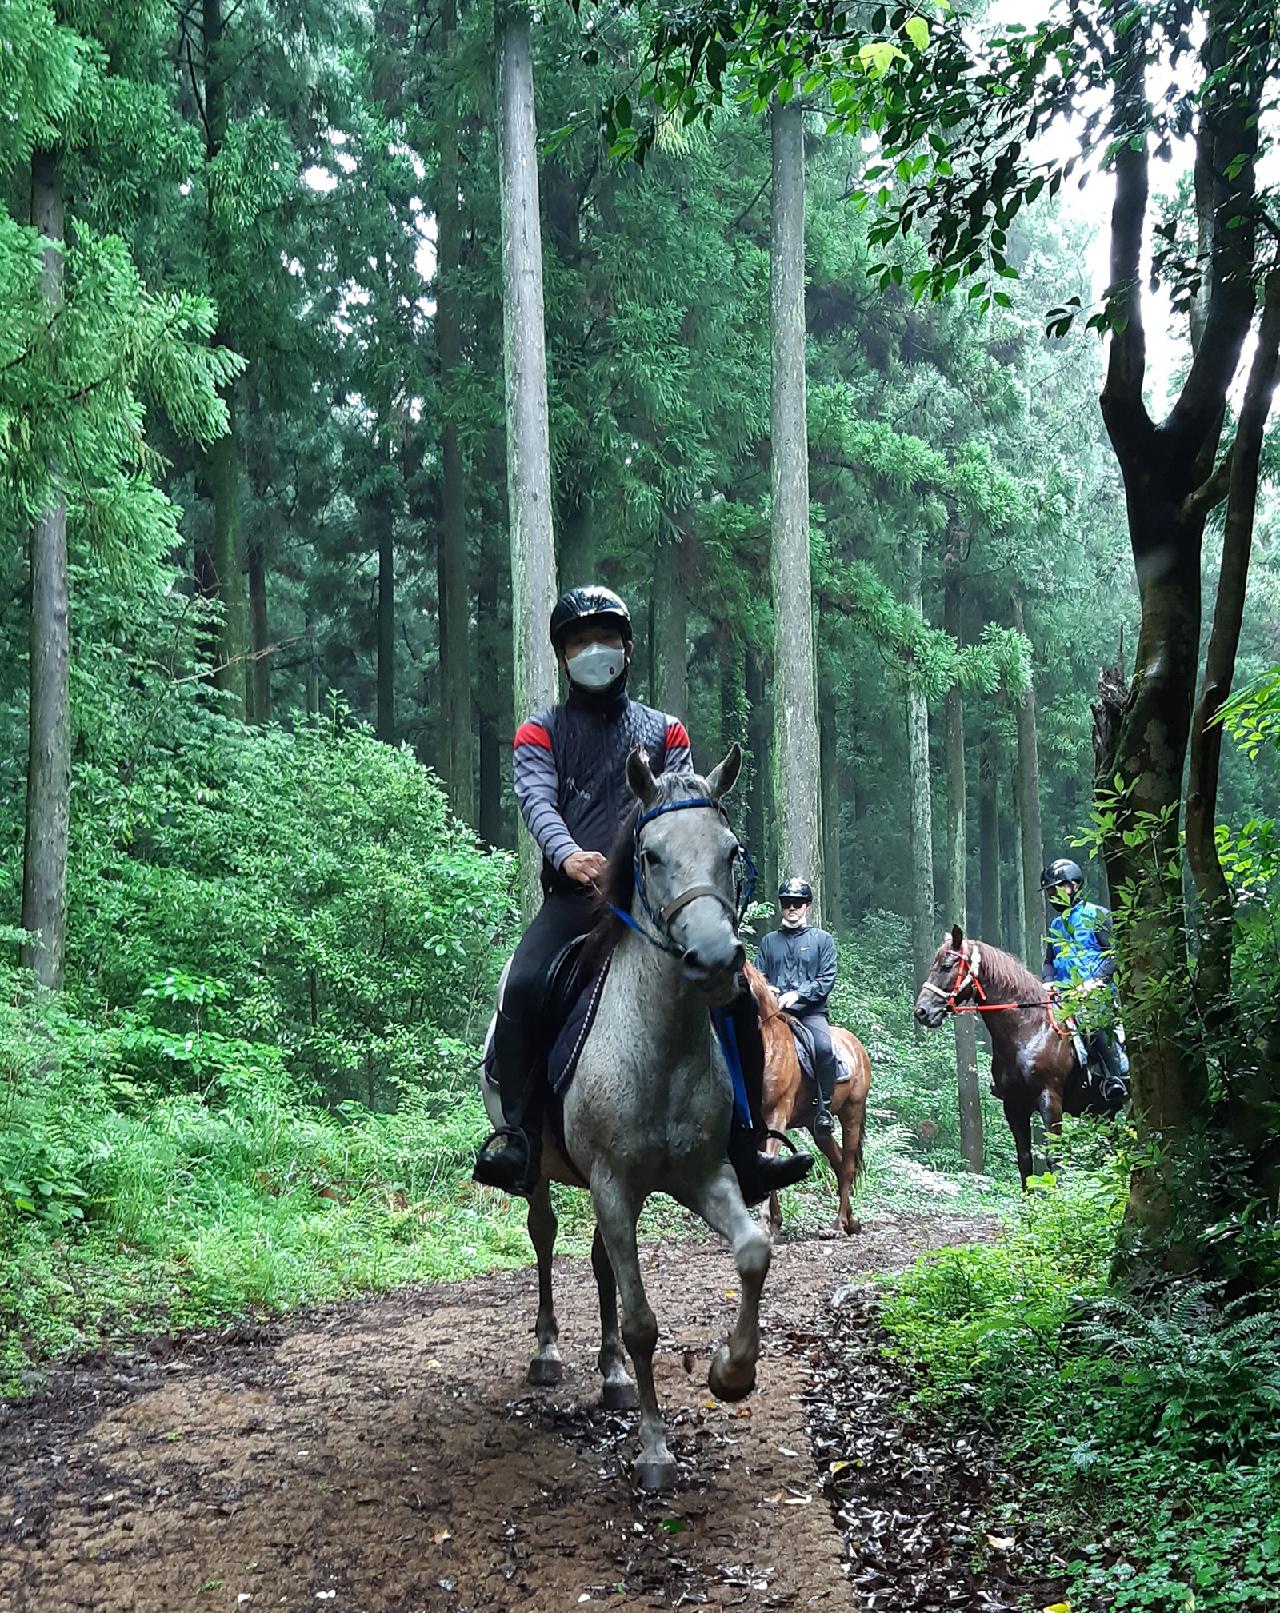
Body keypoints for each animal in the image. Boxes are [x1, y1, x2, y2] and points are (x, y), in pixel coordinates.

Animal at [477, 748, 773, 1490]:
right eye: (651, 854)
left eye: (732, 851)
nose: (716, 961)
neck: (660, 1046)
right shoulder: (613, 1183)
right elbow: (642, 1321)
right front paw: (655, 1448)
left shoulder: (703, 1174)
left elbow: (753, 1252)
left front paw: (731, 1372)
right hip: (547, 1173)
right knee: (546, 1237)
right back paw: (549, 1353)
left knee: (599, 1261)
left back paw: (610, 1374)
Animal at [741, 961, 870, 1238]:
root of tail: (857, 1046)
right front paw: (775, 1225)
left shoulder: (776, 1116)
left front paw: (765, 1226)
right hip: (817, 1127)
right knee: (838, 1161)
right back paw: (851, 1221)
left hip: (852, 1114)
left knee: (847, 1165)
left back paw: (838, 1224)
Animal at [909, 922, 1109, 1187]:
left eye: (947, 966)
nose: (921, 1011)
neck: (1028, 1030)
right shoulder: (1013, 1105)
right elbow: (1024, 1162)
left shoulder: (1050, 1100)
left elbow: (1054, 1160)